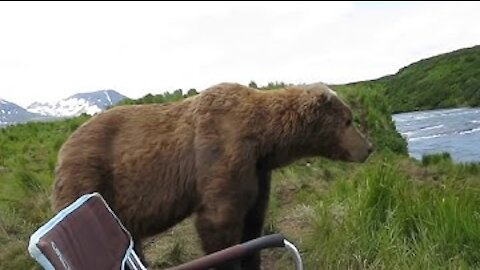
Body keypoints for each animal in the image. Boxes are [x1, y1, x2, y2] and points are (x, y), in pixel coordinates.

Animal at [52, 82, 374, 270]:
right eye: (348, 121)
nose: (368, 147)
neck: (264, 139)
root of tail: (63, 148)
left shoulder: (257, 171)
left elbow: (253, 221)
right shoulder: (221, 150)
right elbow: (219, 222)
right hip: (90, 178)